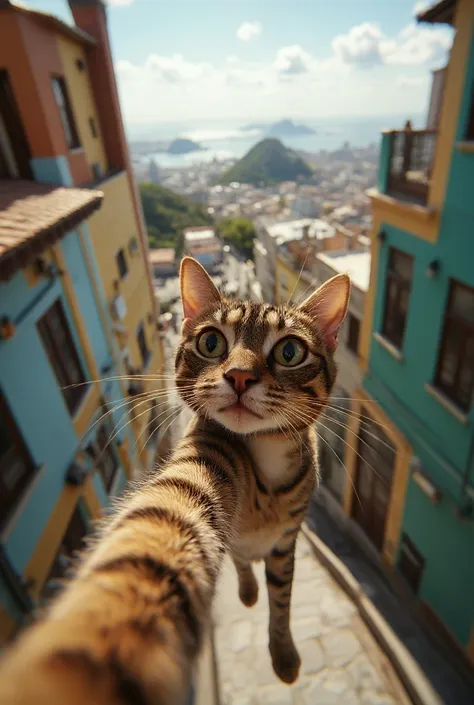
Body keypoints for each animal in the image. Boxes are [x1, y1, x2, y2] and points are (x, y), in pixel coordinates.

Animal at [0, 256, 350, 700]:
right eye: (211, 343)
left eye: (290, 351)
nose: (239, 376)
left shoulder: (286, 543)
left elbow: (282, 602)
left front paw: (283, 652)